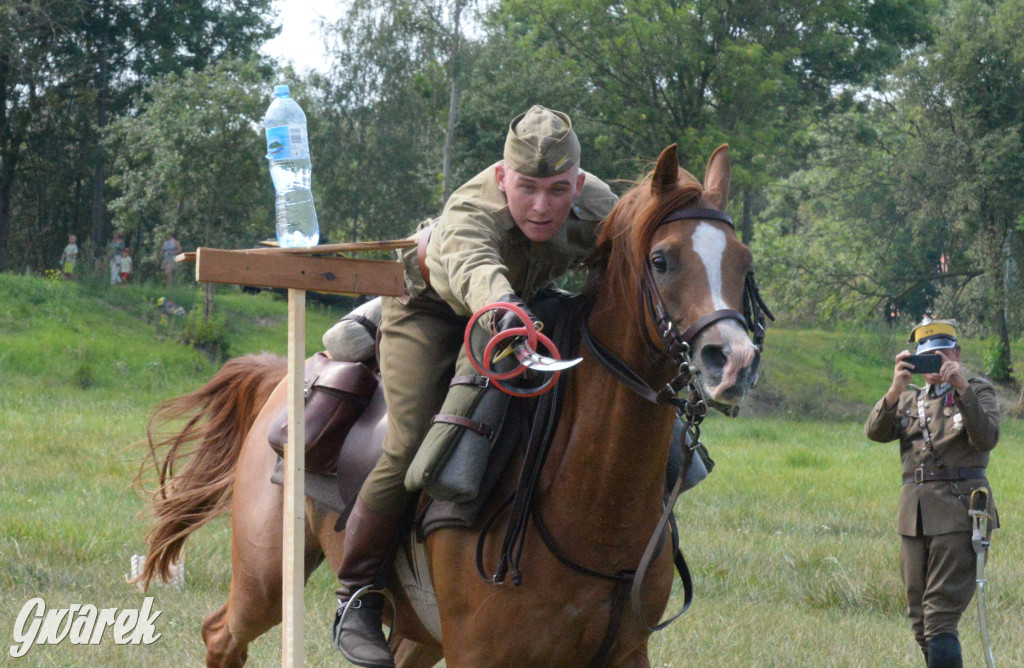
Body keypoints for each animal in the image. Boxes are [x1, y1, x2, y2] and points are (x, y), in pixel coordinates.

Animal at [134, 143, 761, 663]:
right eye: (662, 260)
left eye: (743, 260)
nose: (732, 361)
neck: (588, 506)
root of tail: (280, 379)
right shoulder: (479, 653)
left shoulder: (624, 654)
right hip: (266, 576)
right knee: (222, 635)